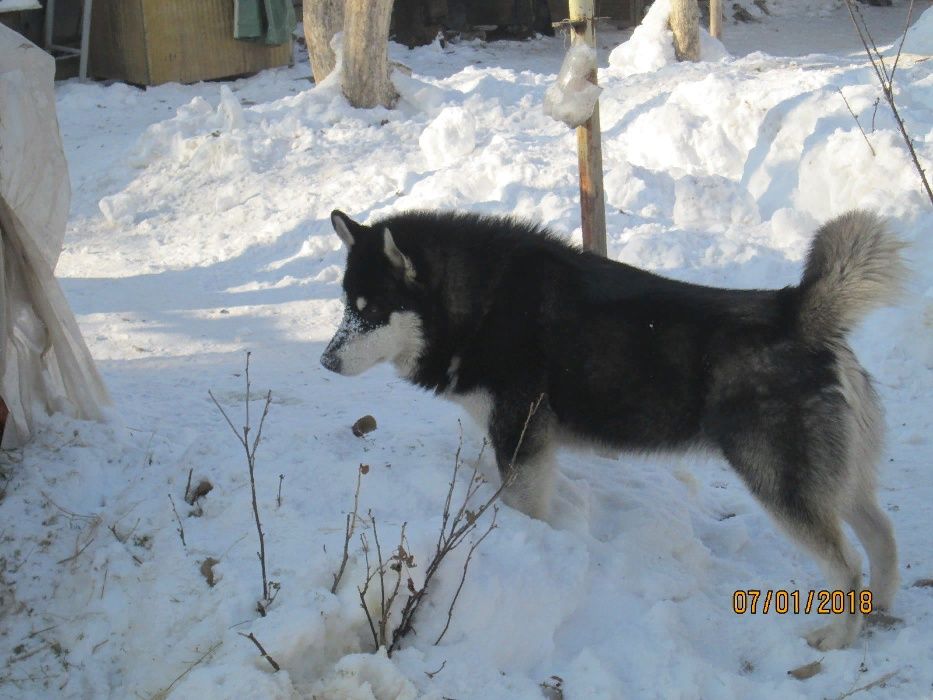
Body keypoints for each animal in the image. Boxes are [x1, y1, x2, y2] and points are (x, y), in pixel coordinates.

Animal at [320, 209, 904, 652]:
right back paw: (878, 608)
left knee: (847, 564)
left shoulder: (520, 435)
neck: (481, 302)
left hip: (782, 486)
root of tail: (795, 311)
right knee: (882, 535)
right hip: (838, 481)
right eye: (347, 306)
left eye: (373, 311)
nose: (325, 360)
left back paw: (838, 638)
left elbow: (521, 508)